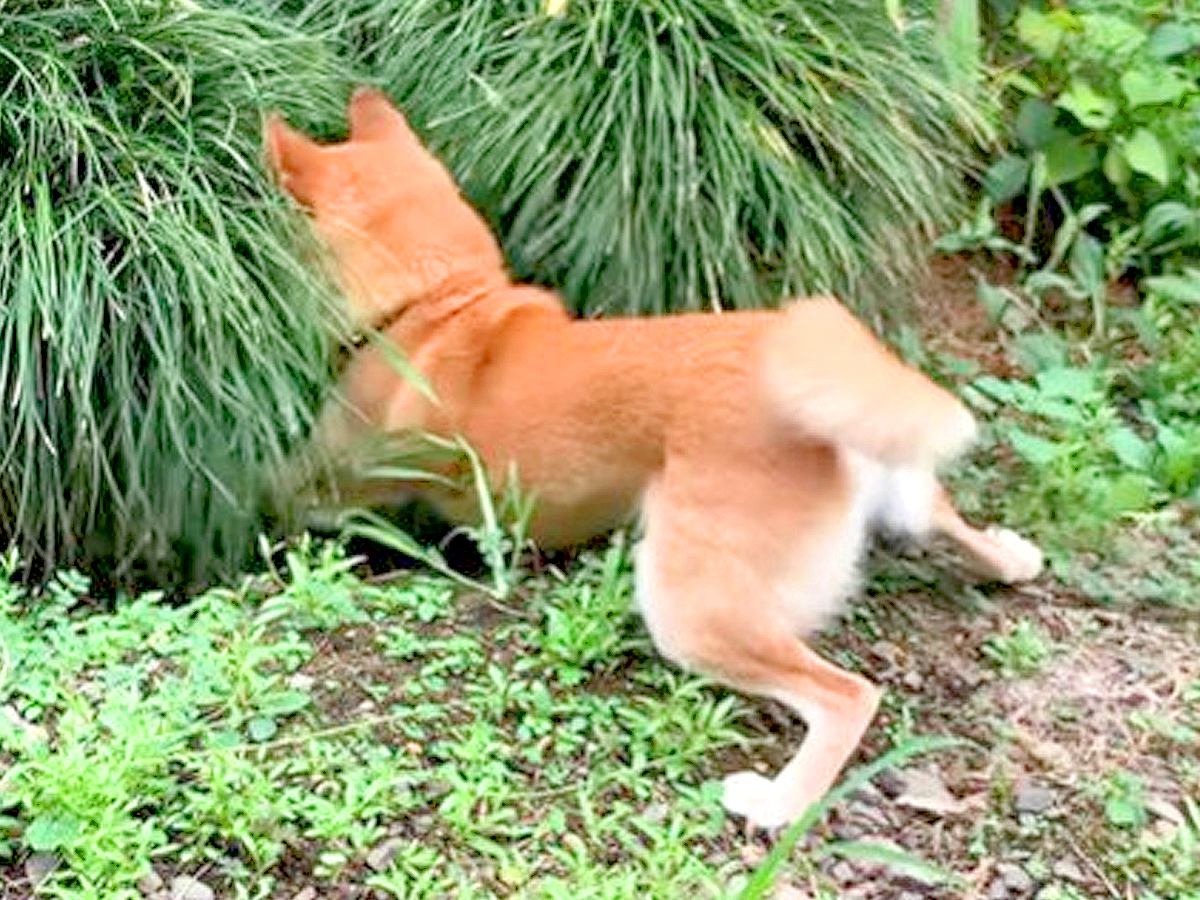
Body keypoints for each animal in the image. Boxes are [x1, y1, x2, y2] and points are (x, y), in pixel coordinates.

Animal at [265, 90, 1041, 830]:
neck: (441, 300)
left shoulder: (326, 481)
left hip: (687, 606)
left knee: (846, 695)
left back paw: (778, 802)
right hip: (887, 484)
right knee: (945, 520)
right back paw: (1010, 556)